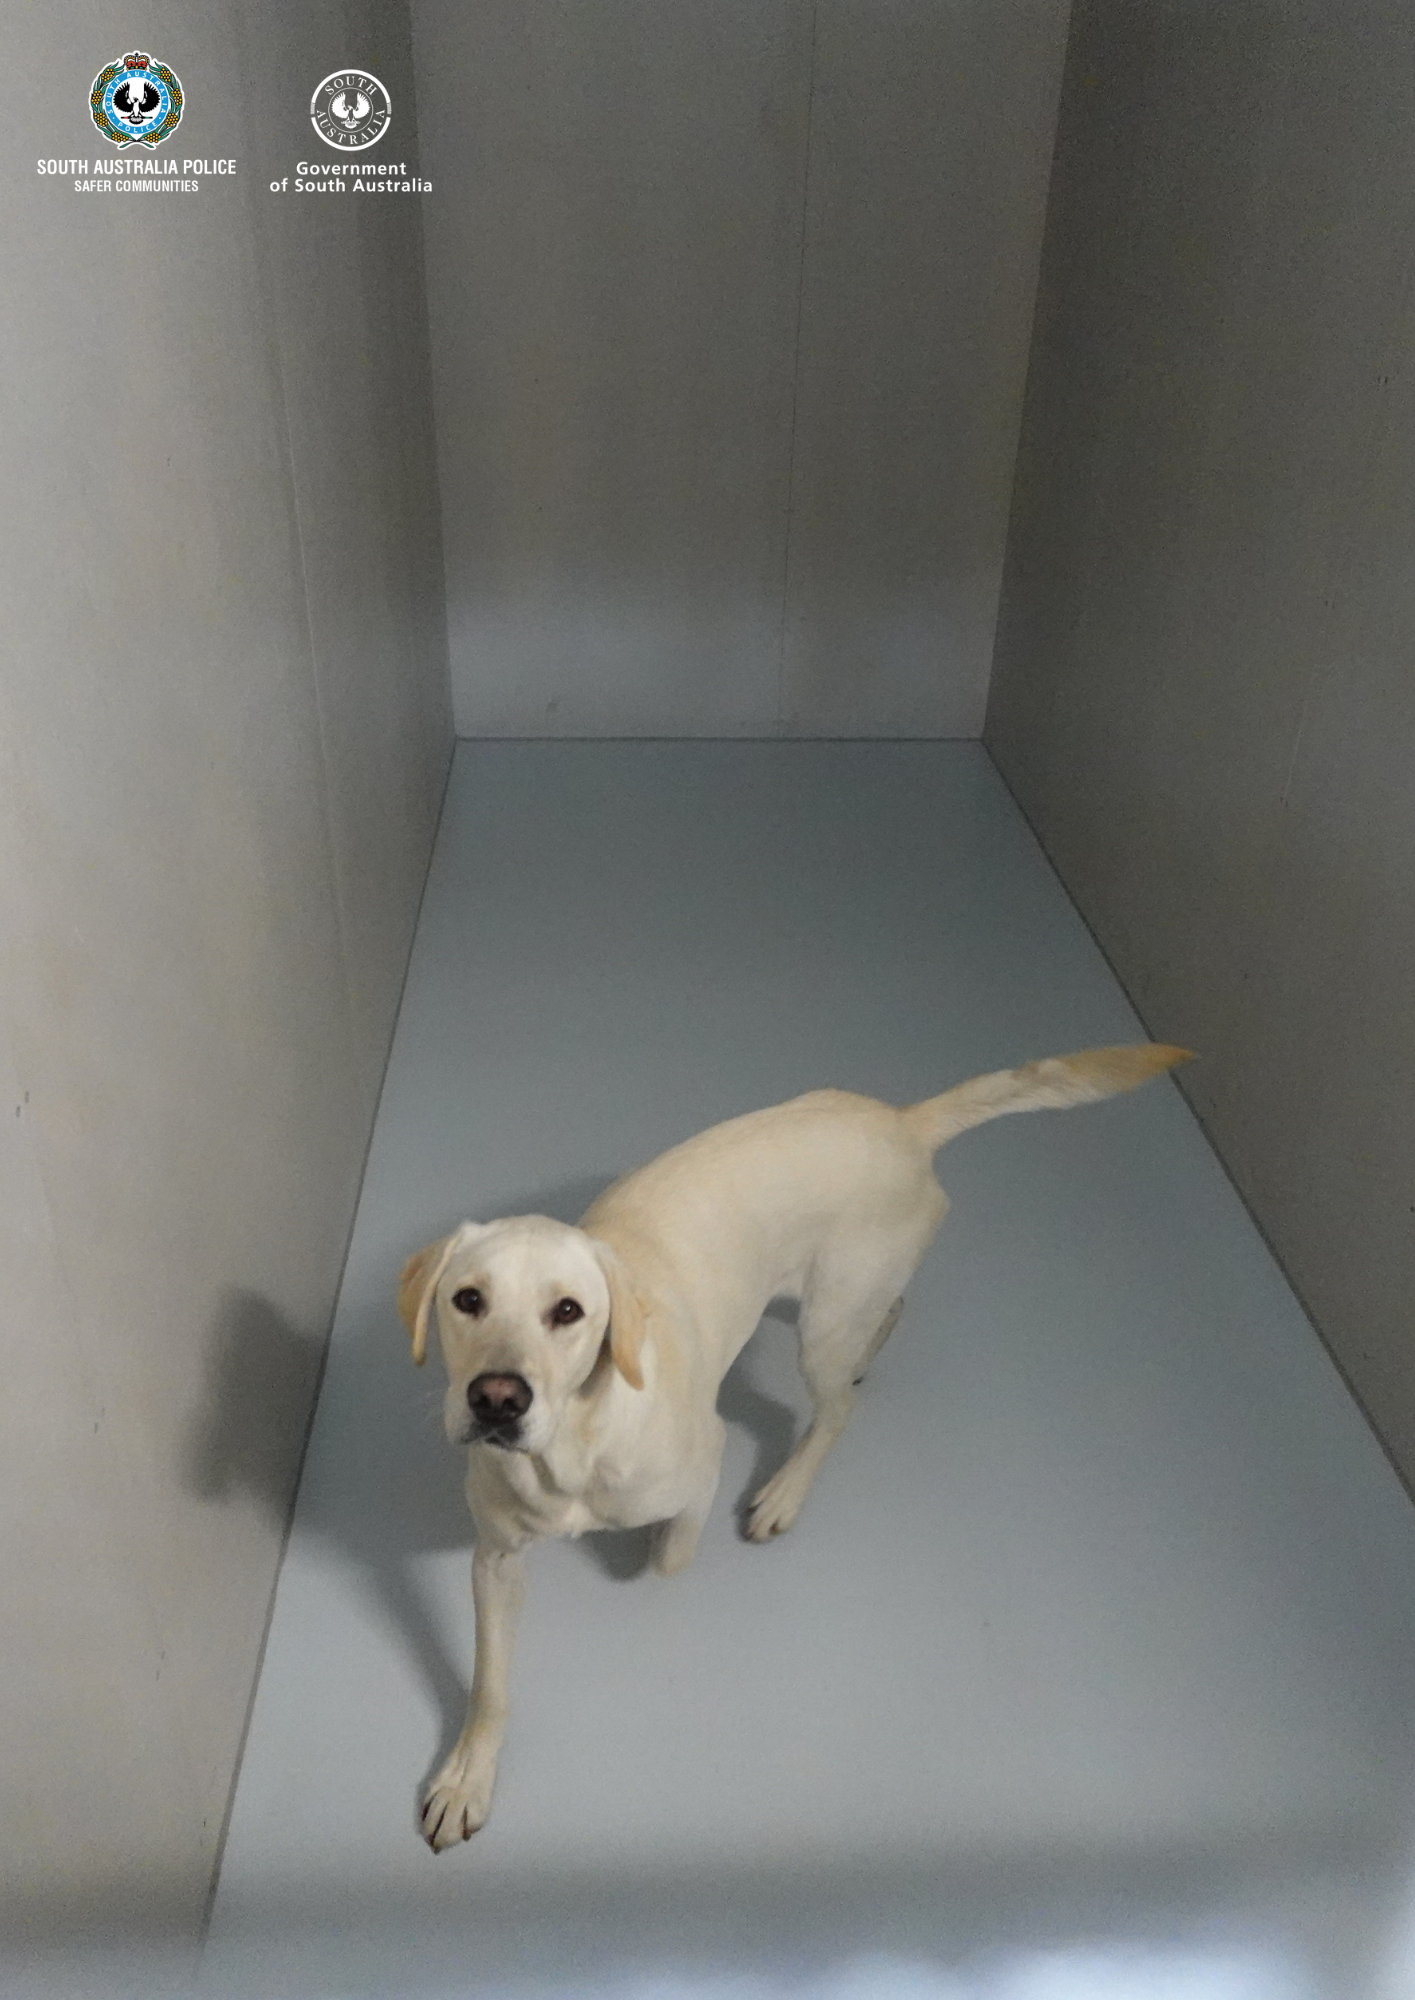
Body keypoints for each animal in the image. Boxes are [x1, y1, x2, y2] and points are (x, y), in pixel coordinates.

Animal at [403, 1048, 1191, 1840]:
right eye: (466, 1300)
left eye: (568, 1312)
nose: (496, 1398)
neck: (570, 1446)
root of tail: (903, 1124)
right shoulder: (496, 1560)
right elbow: (490, 1685)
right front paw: (468, 1777)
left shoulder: (704, 1459)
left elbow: (671, 1556)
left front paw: (651, 1544)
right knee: (891, 1312)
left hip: (824, 1325)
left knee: (837, 1407)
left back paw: (785, 1489)